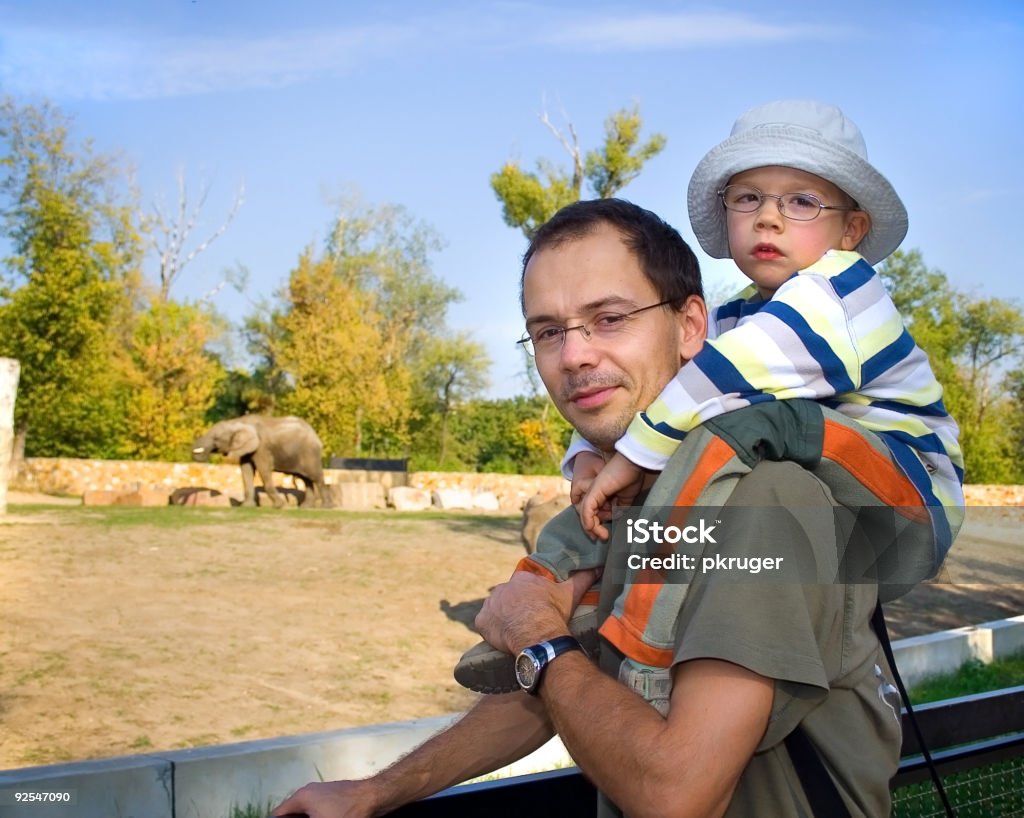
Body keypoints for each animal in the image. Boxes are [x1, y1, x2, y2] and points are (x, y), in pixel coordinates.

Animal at [190, 419, 329, 507]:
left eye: (216, 439)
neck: (237, 422)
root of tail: (316, 435)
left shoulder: (262, 448)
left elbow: (264, 469)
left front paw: (280, 506)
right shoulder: (248, 450)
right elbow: (246, 470)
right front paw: (246, 506)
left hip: (310, 453)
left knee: (316, 477)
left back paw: (326, 507)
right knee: (306, 479)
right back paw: (306, 507)